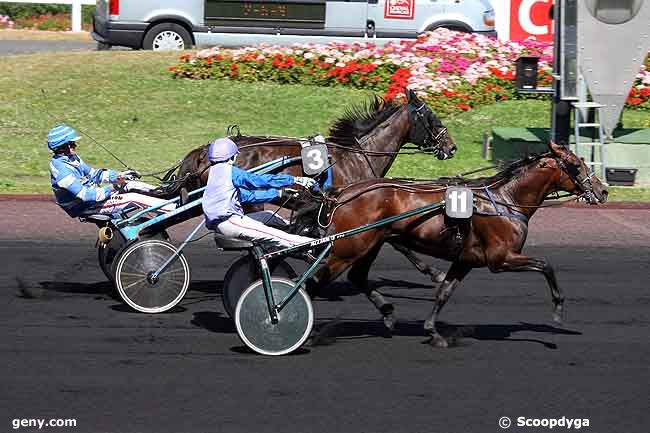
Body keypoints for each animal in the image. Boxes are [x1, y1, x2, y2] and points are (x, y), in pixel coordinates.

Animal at [306, 142, 604, 348]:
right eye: (576, 165)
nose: (602, 191)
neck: (505, 200)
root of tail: (341, 194)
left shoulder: (465, 260)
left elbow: (444, 293)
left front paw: (433, 332)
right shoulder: (501, 258)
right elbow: (546, 265)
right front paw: (558, 309)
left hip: (371, 244)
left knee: (357, 277)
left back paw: (388, 313)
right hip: (348, 248)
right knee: (315, 283)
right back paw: (305, 332)